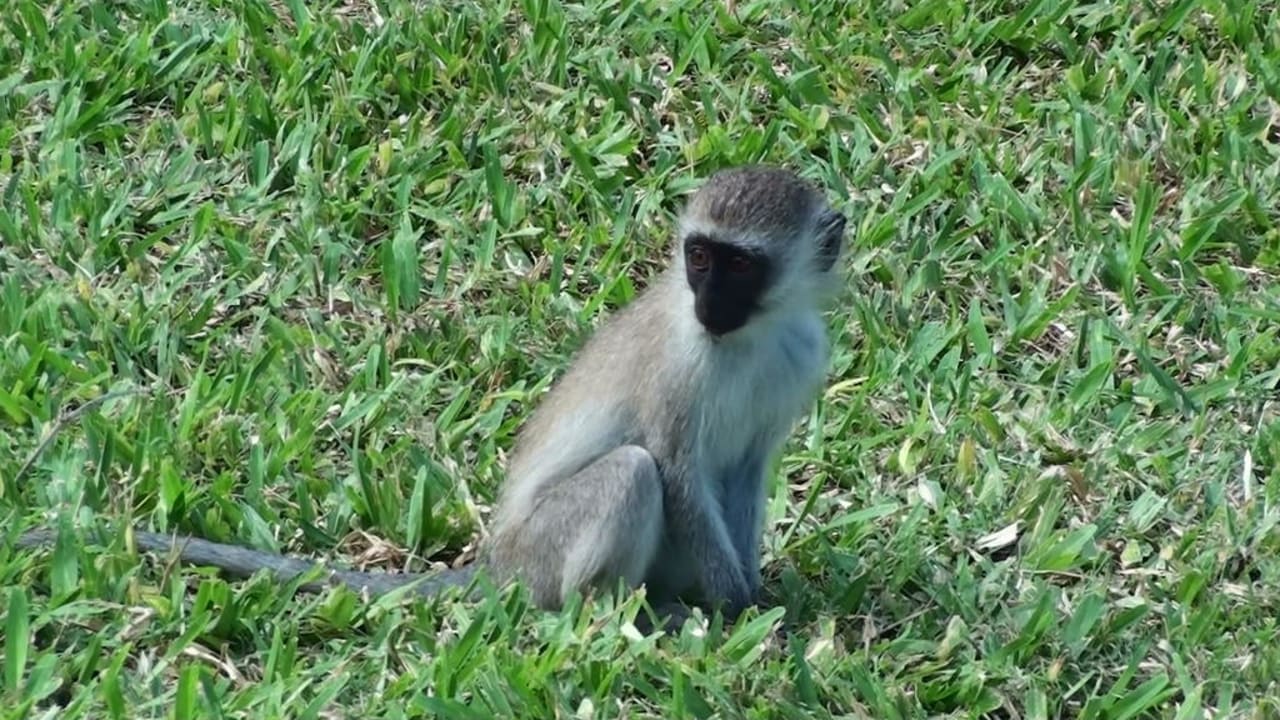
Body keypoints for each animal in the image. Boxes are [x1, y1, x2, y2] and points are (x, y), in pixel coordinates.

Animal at [16, 165, 847, 628]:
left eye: (738, 266)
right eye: (699, 257)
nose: (706, 303)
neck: (750, 335)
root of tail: (498, 568)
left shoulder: (800, 359)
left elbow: (744, 474)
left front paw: (759, 597)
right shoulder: (678, 369)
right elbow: (674, 470)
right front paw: (740, 610)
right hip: (541, 556)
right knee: (633, 474)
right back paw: (617, 616)